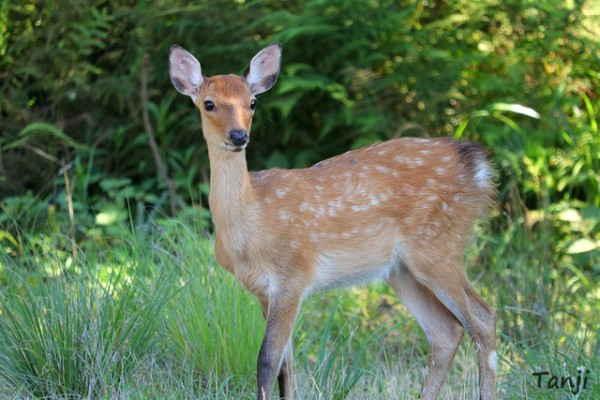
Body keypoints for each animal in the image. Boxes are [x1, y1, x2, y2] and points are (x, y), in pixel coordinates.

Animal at [169, 42, 496, 398]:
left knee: (483, 319)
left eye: (251, 102)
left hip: (438, 244)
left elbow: (267, 361)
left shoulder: (293, 276)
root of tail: (477, 167)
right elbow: (286, 365)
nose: (239, 135)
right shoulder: (264, 291)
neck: (249, 223)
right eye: (209, 103)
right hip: (402, 269)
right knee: (446, 331)